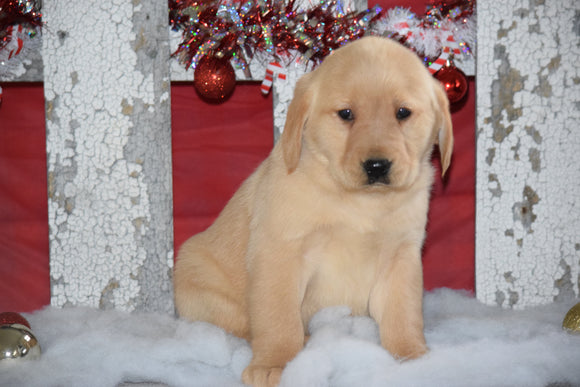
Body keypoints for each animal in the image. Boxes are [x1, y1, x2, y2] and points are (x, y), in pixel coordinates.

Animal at [172, 36, 454, 387]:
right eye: (346, 114)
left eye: (403, 113)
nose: (376, 166)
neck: (359, 201)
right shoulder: (281, 254)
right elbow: (278, 318)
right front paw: (275, 363)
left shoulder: (401, 257)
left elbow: (404, 313)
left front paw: (413, 357)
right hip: (201, 288)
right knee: (244, 326)